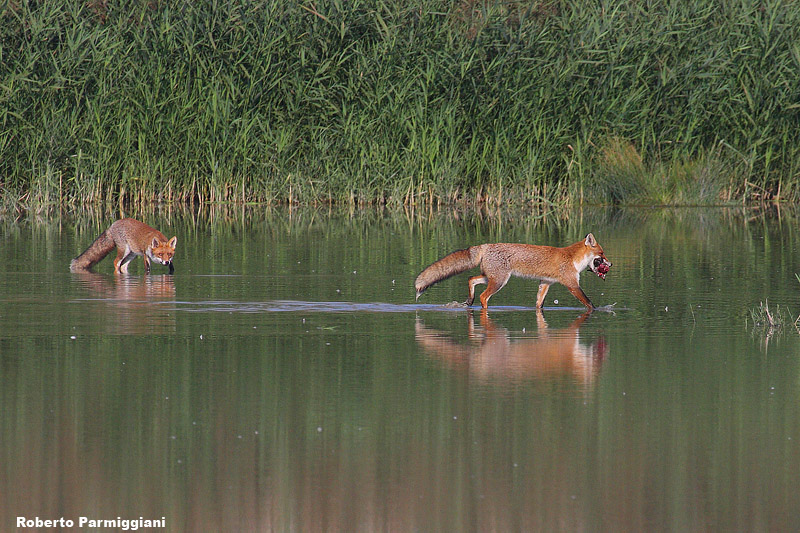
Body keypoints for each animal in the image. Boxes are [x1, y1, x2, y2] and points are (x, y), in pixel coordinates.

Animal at [412, 232, 612, 310]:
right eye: (602, 254)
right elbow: (589, 303)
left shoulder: (545, 283)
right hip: (500, 281)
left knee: (471, 279)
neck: (572, 258)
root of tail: (486, 245)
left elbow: (539, 304)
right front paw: (600, 310)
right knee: (484, 296)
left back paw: (469, 301)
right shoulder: (572, 284)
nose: (610, 264)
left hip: (491, 278)